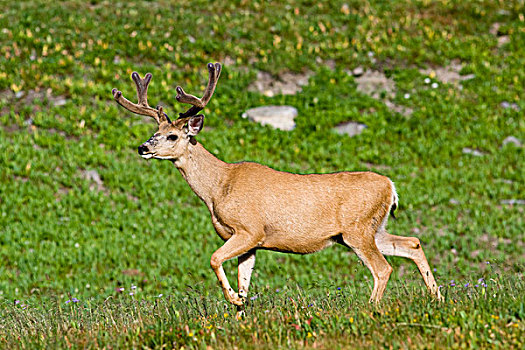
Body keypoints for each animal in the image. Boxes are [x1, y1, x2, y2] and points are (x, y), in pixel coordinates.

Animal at [111, 63, 442, 318]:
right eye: (154, 131)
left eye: (172, 136)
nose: (142, 147)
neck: (219, 187)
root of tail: (391, 186)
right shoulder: (251, 243)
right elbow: (244, 281)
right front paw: (240, 314)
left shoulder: (249, 229)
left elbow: (214, 259)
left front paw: (233, 300)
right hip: (372, 228)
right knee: (412, 244)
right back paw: (437, 298)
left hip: (357, 229)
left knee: (383, 268)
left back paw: (370, 308)